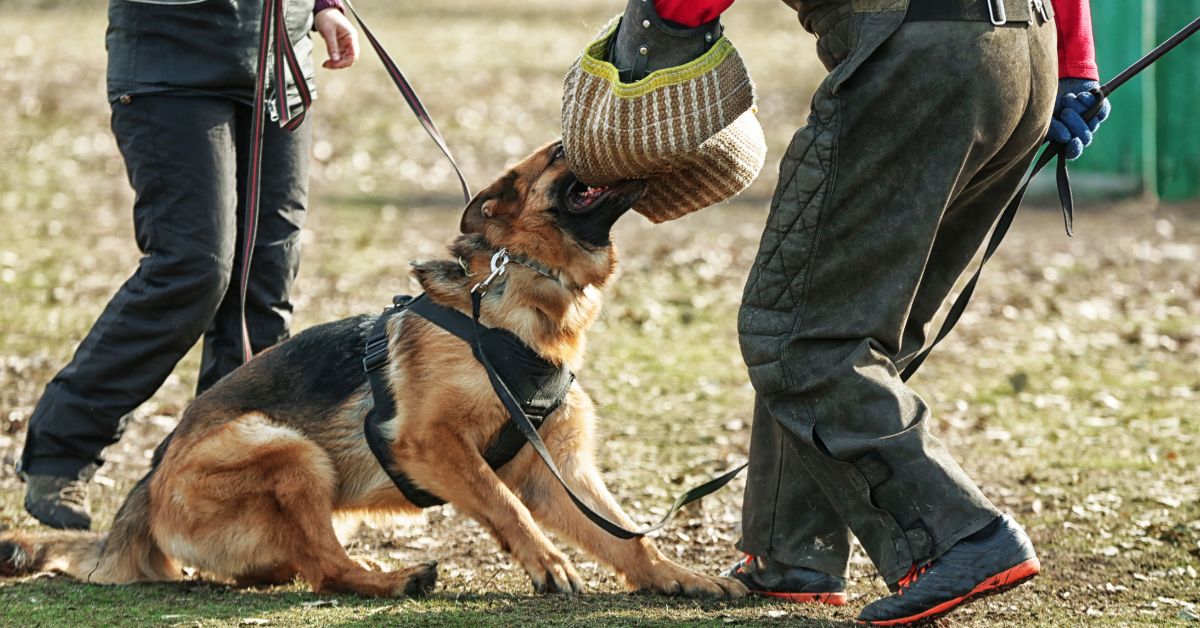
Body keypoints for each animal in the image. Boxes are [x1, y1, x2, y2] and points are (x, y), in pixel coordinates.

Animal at [0, 142, 744, 600]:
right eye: (560, 153)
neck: (520, 298)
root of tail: (147, 488)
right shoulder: (433, 443)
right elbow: (503, 504)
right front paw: (549, 563)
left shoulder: (552, 469)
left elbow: (623, 535)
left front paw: (679, 575)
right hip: (288, 450)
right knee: (326, 569)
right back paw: (394, 580)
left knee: (301, 563)